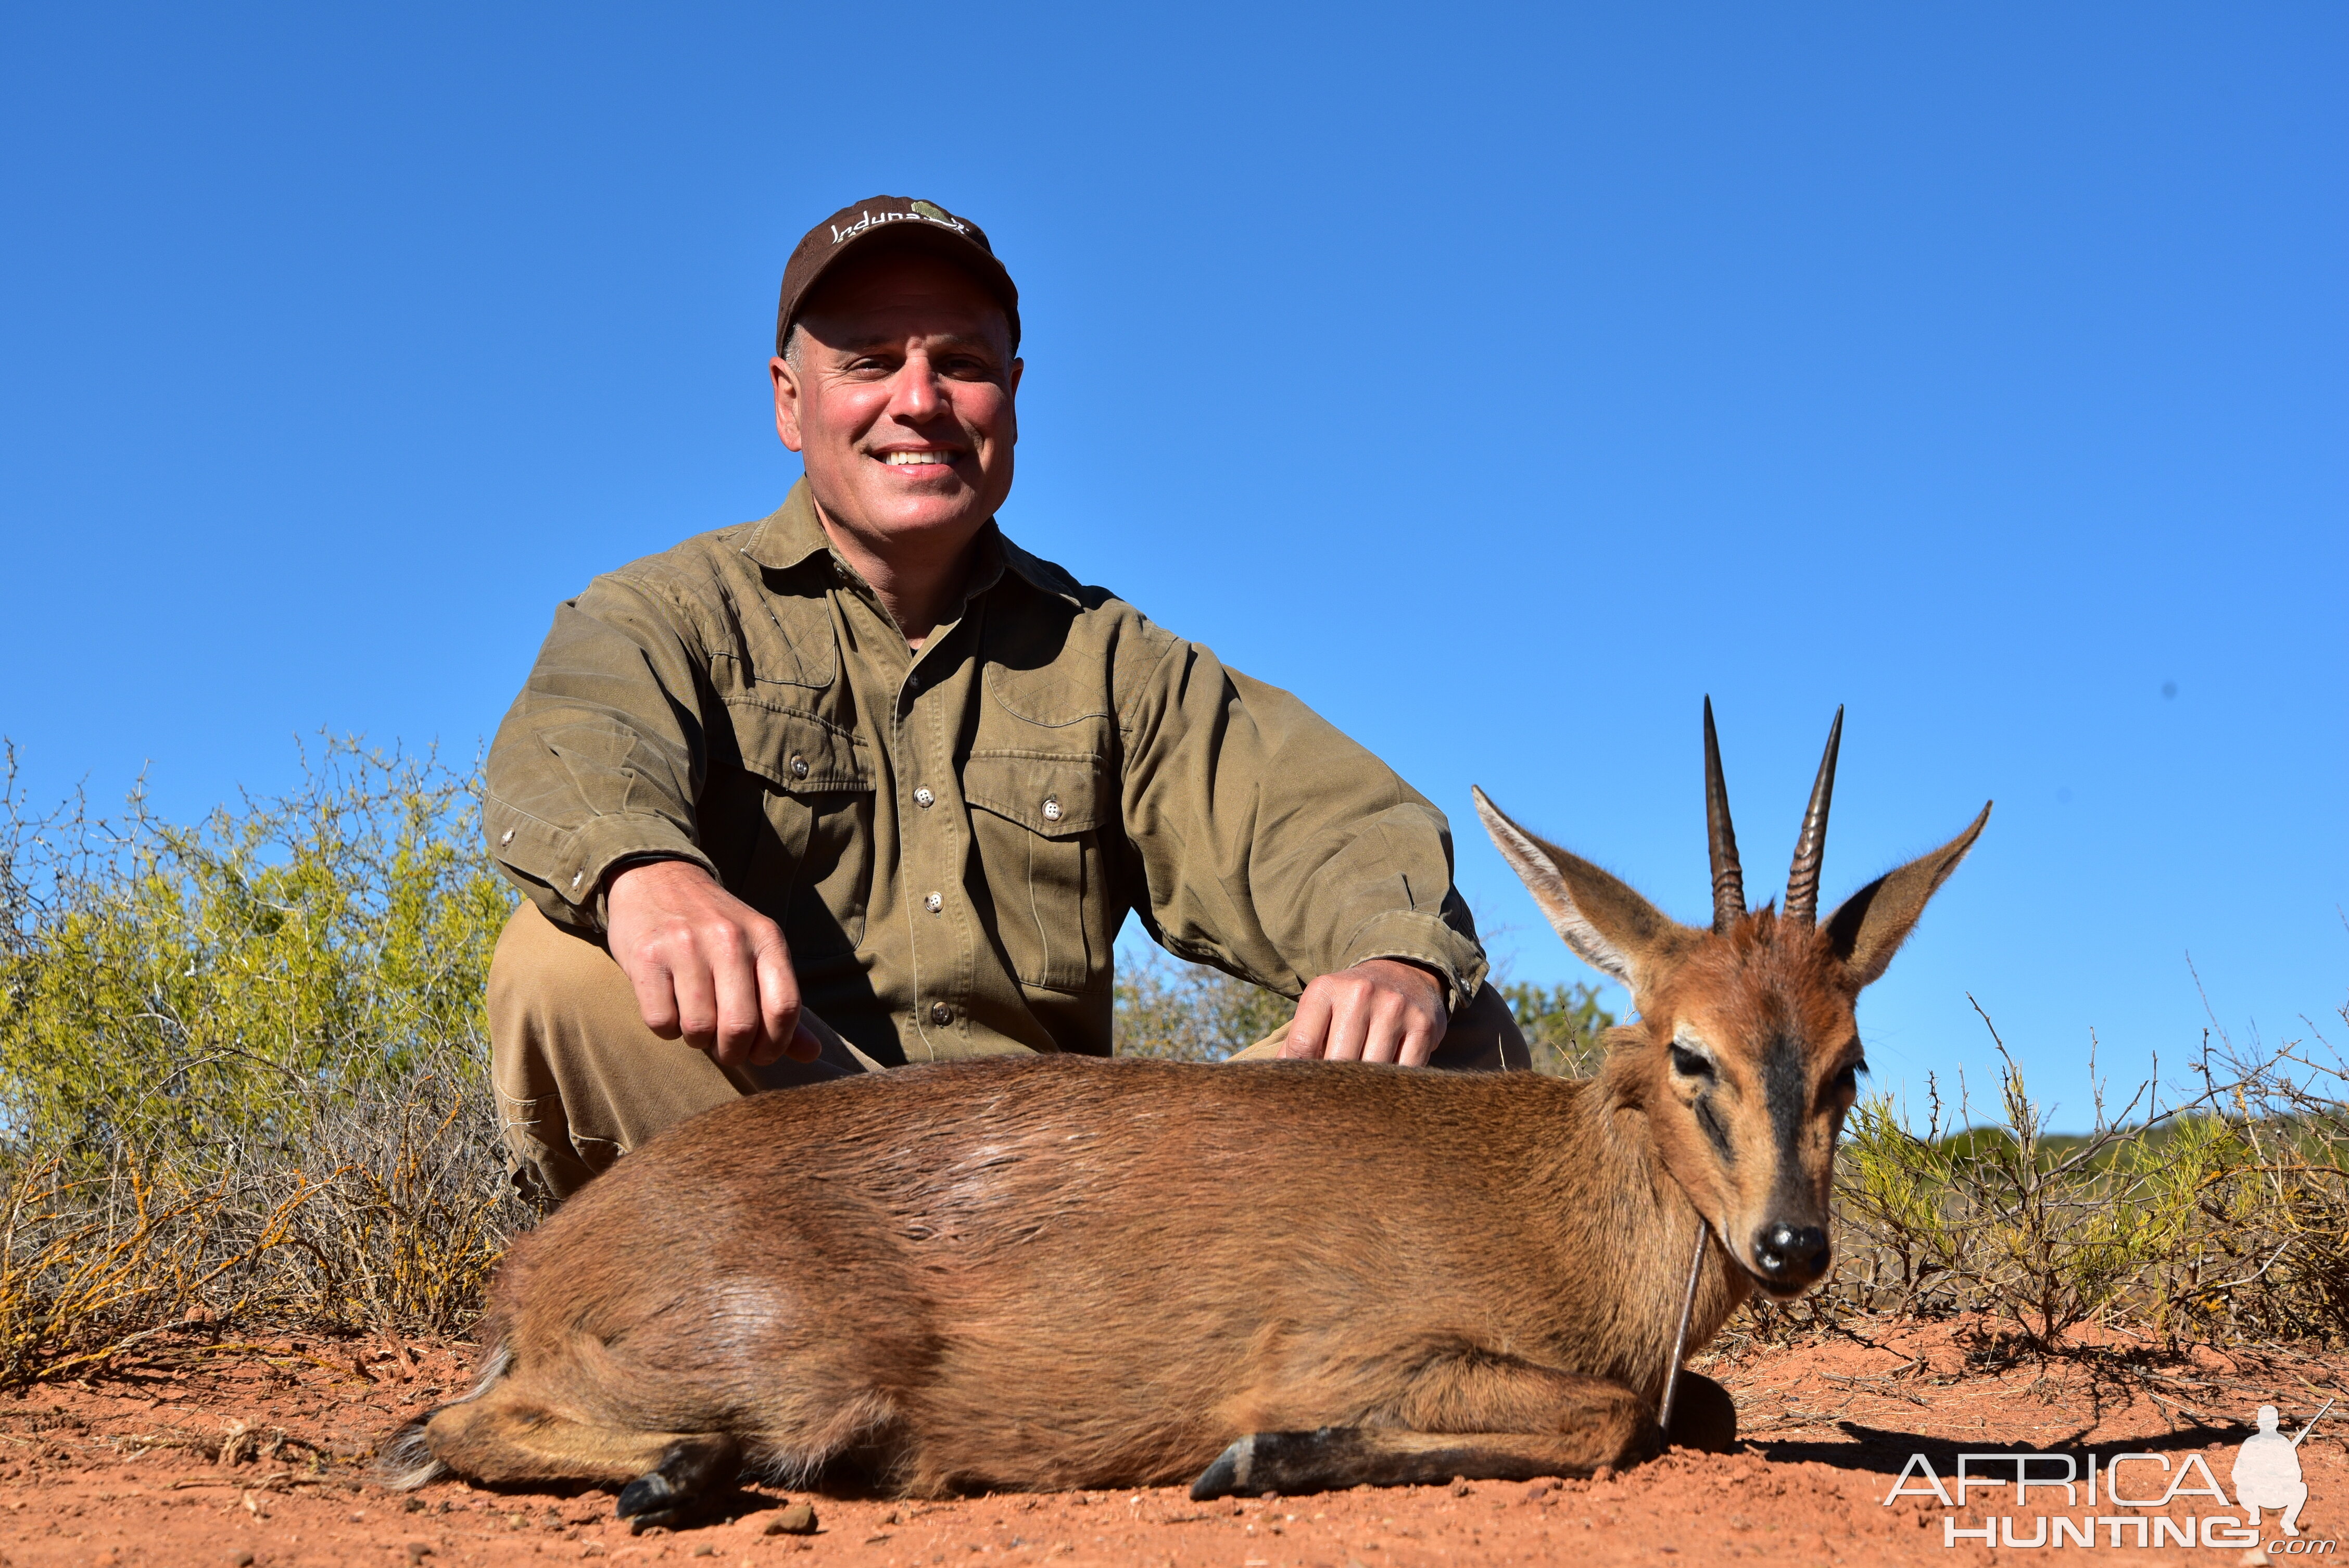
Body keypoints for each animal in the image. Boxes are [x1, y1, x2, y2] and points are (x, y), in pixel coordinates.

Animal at [389, 704, 1982, 1521]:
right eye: (1687, 1052)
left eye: (1846, 1062)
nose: (1788, 1247)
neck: (1569, 1199)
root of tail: (541, 1265)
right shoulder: (1376, 1348)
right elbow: (1606, 1420)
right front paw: (1258, 1456)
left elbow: (1690, 1409)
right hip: (796, 1379)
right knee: (438, 1428)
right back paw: (677, 1472)